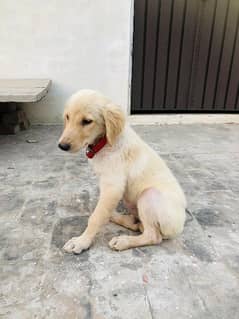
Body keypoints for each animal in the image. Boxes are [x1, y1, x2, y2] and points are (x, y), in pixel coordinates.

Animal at [58, 90, 187, 255]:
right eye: (67, 117)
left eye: (87, 121)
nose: (62, 146)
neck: (105, 142)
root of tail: (181, 224)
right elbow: (101, 212)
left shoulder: (113, 186)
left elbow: (95, 217)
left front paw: (82, 241)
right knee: (137, 223)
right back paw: (129, 220)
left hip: (149, 195)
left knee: (153, 235)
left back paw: (123, 241)